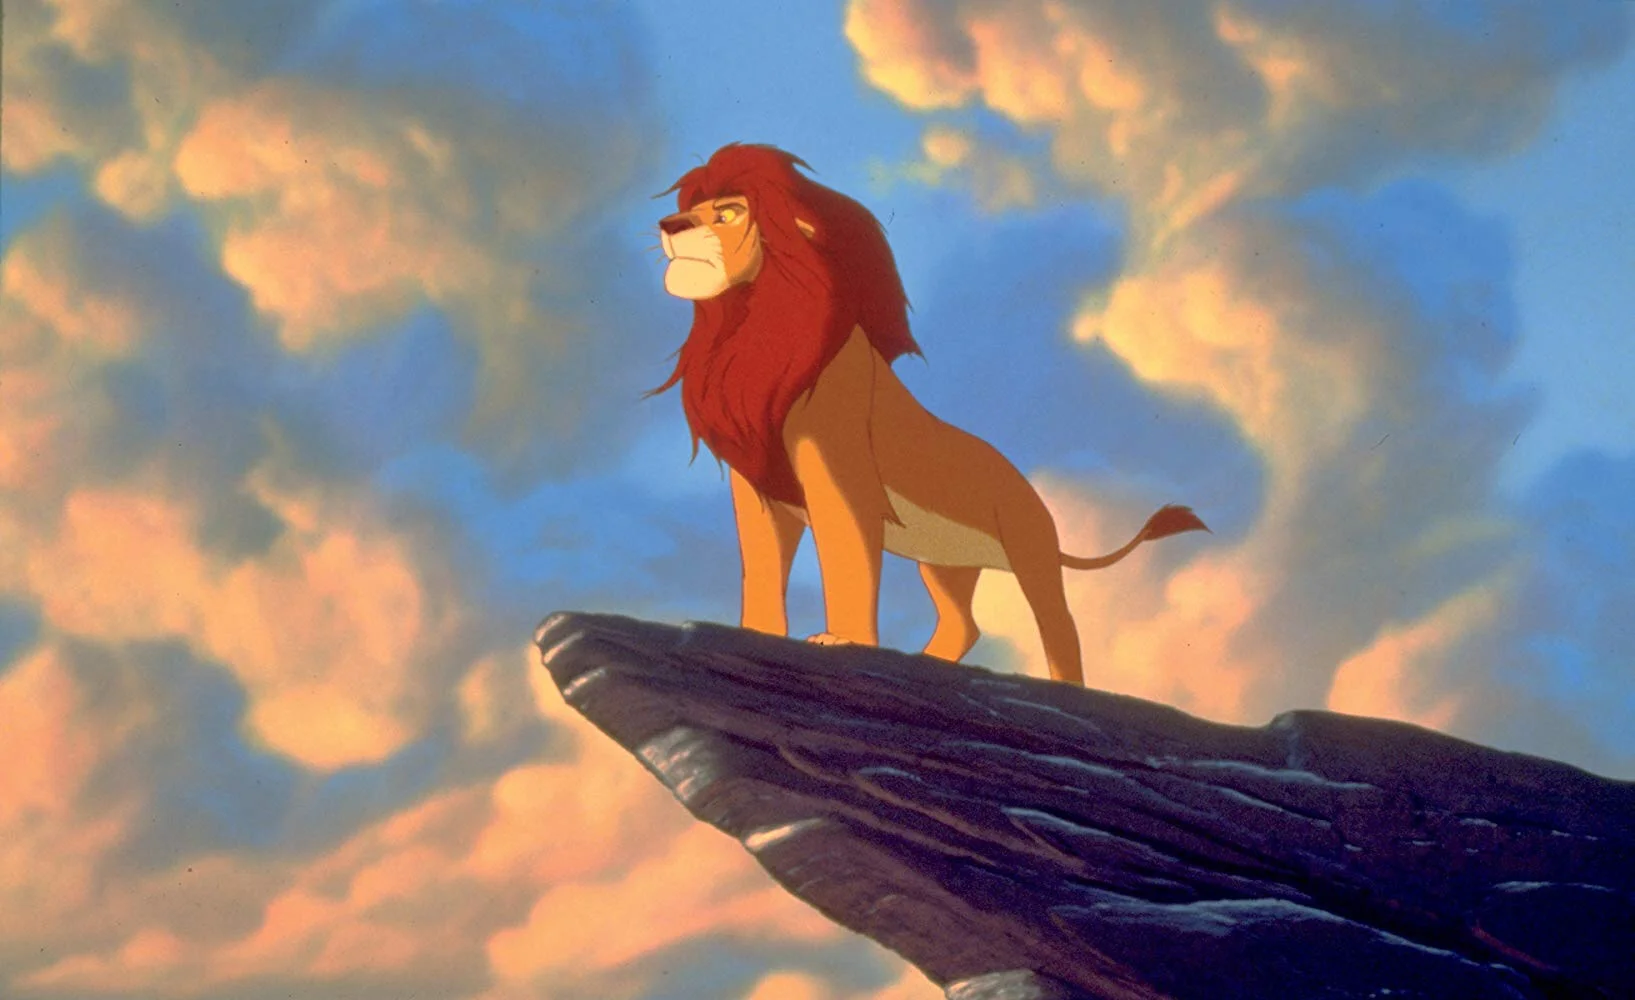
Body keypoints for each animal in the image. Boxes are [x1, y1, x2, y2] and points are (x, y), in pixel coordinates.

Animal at [651, 143, 1206, 685]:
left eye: (727, 213)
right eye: (692, 207)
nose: (669, 225)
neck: (749, 328)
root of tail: (1030, 492)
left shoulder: (840, 468)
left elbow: (846, 552)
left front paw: (842, 638)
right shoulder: (761, 485)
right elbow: (762, 564)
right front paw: (757, 632)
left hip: (1030, 553)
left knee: (1060, 626)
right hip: (945, 564)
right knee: (965, 624)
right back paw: (928, 660)